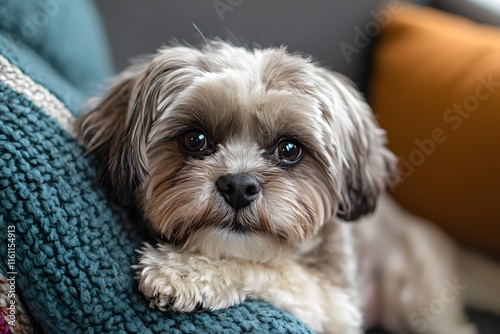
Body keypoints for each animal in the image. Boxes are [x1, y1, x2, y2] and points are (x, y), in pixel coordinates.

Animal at [76, 40, 498, 332]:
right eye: (195, 139)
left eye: (290, 149)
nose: (239, 185)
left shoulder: (336, 306)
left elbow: (268, 268)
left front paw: (183, 271)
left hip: (419, 300)